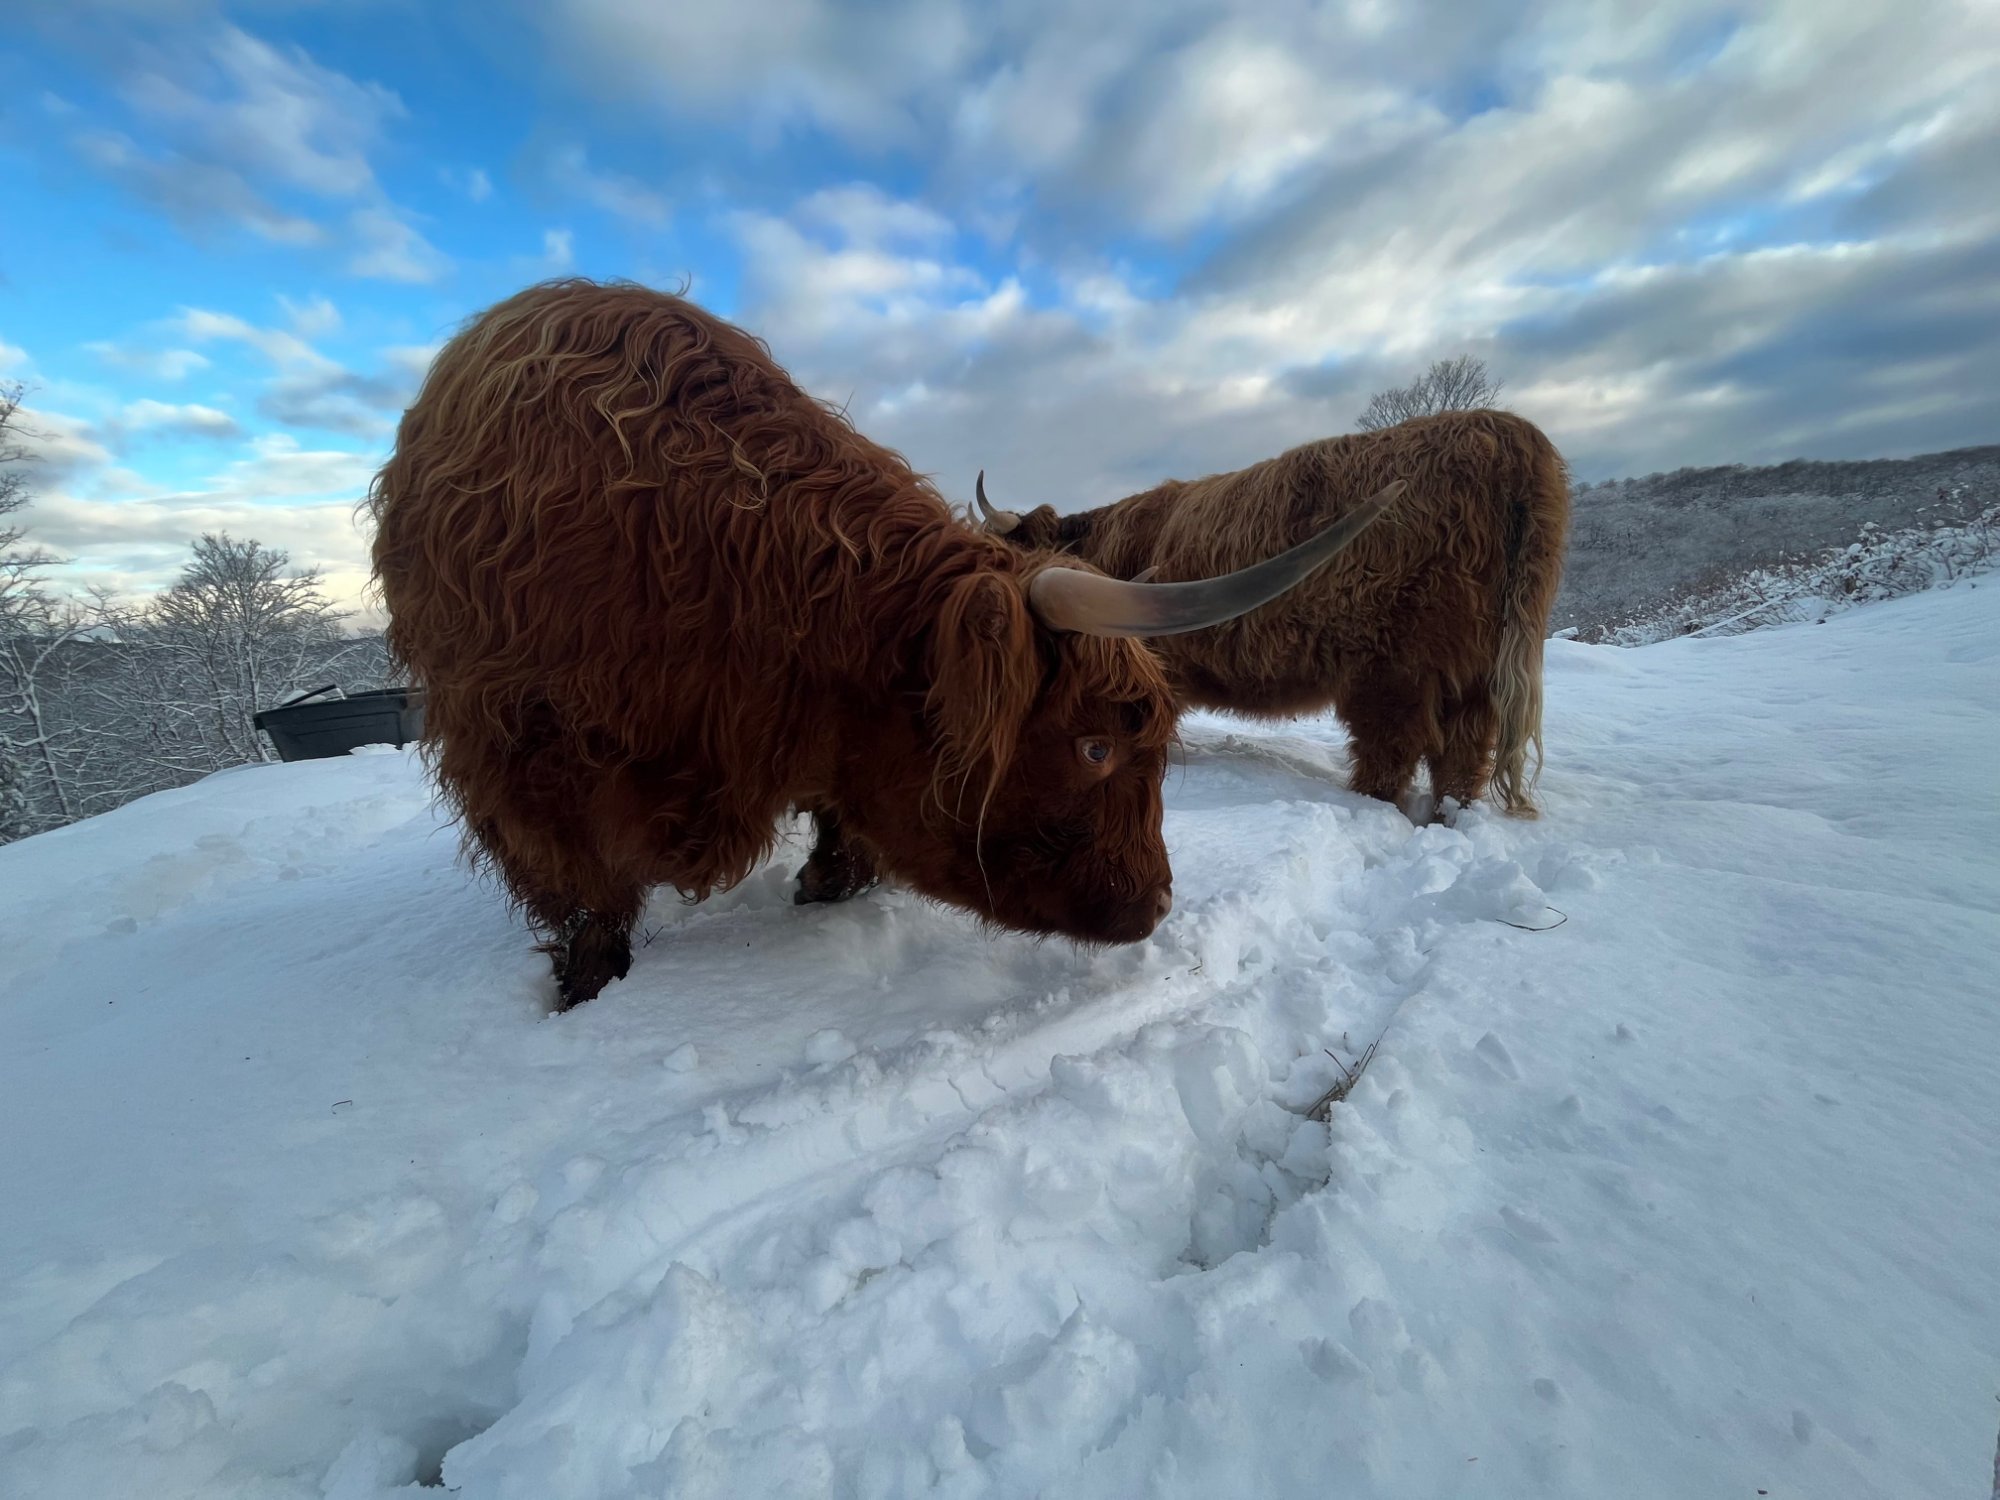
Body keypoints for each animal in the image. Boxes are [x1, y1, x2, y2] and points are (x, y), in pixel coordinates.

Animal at [366, 278, 1399, 1009]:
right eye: (1095, 746)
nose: (1158, 904)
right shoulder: (525, 750)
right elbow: (581, 888)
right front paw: (586, 983)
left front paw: (832, 878)